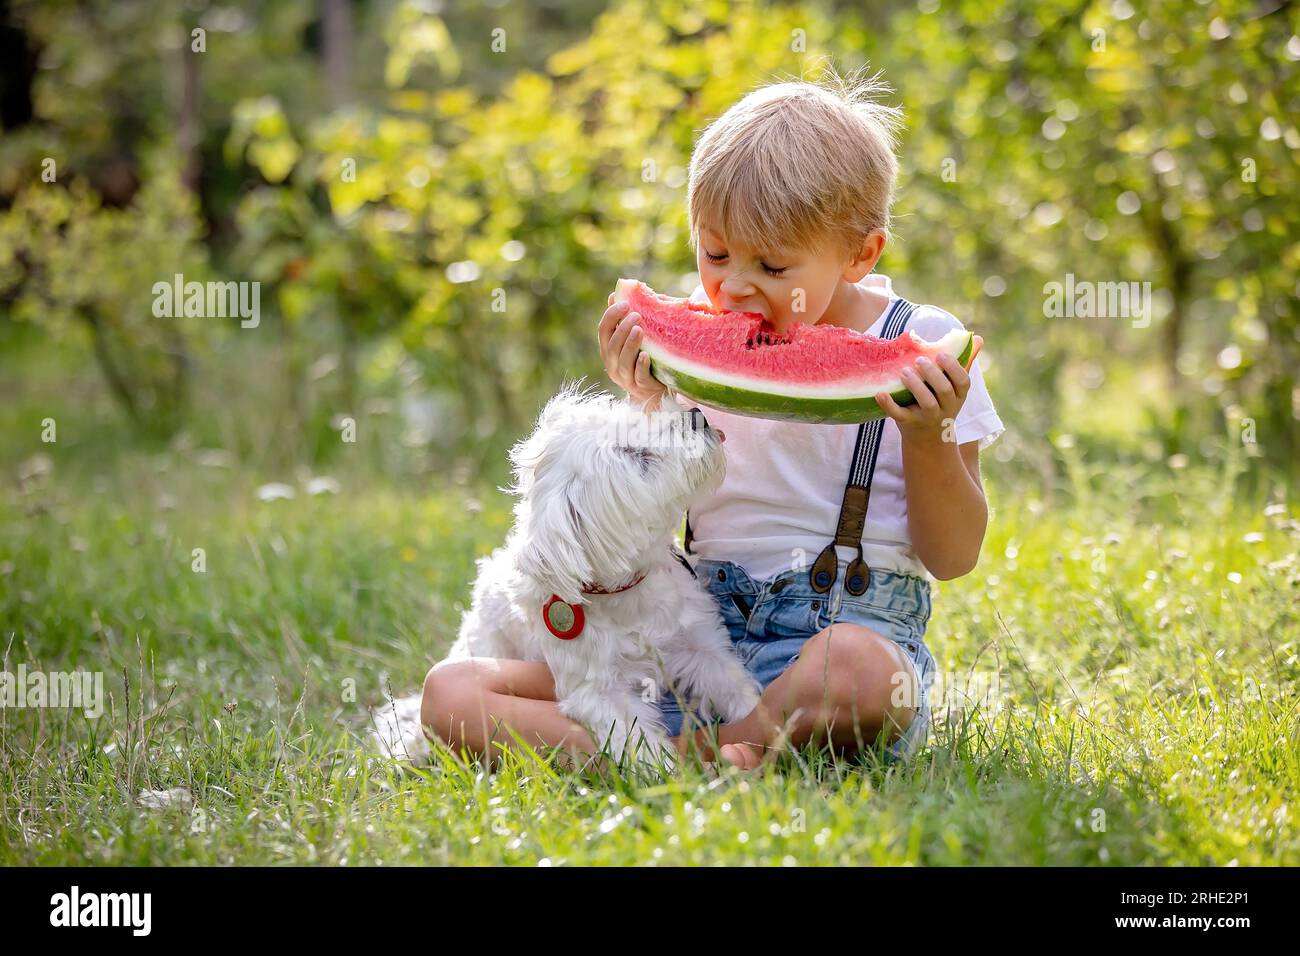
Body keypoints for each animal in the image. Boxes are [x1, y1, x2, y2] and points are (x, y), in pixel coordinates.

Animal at [377, 385, 759, 764]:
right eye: (635, 454)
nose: (695, 415)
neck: (628, 592)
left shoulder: (700, 647)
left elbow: (738, 692)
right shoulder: (599, 692)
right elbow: (639, 743)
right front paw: (672, 775)